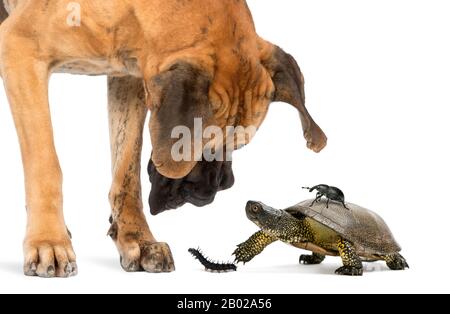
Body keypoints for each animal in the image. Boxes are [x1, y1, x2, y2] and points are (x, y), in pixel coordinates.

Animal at [0, 1, 326, 278]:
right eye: (199, 144)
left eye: (238, 145)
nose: (219, 186)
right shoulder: (19, 50)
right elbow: (46, 165)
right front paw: (48, 241)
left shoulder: (129, 78)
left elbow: (126, 173)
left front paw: (137, 239)